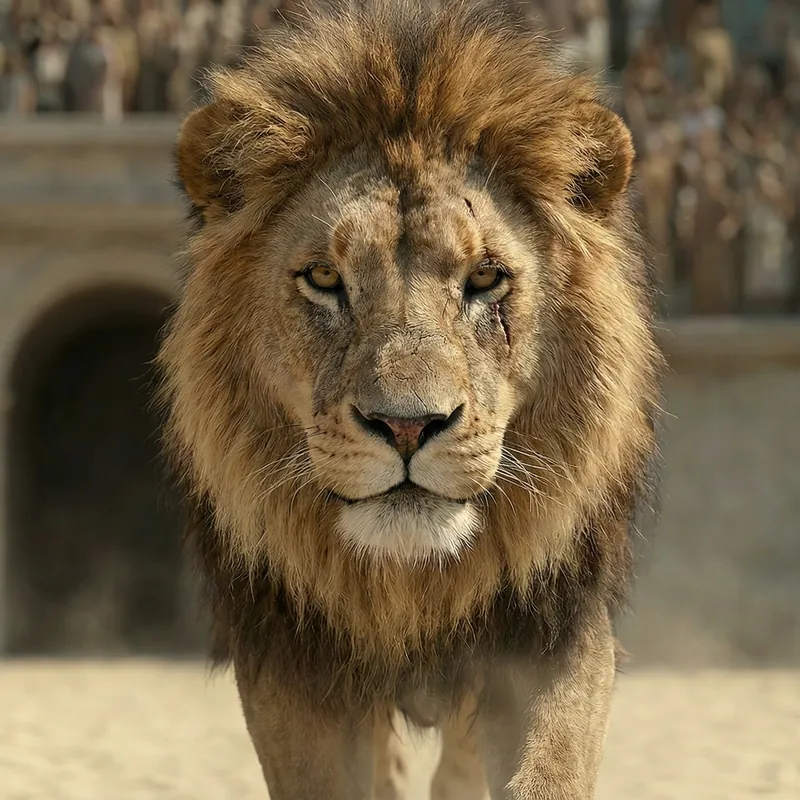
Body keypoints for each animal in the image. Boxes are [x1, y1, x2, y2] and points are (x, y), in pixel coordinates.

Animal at [156, 1, 662, 798]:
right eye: (324, 279)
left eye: (485, 278)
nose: (405, 425)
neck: (410, 588)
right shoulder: (290, 662)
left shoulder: (555, 634)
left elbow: (546, 769)